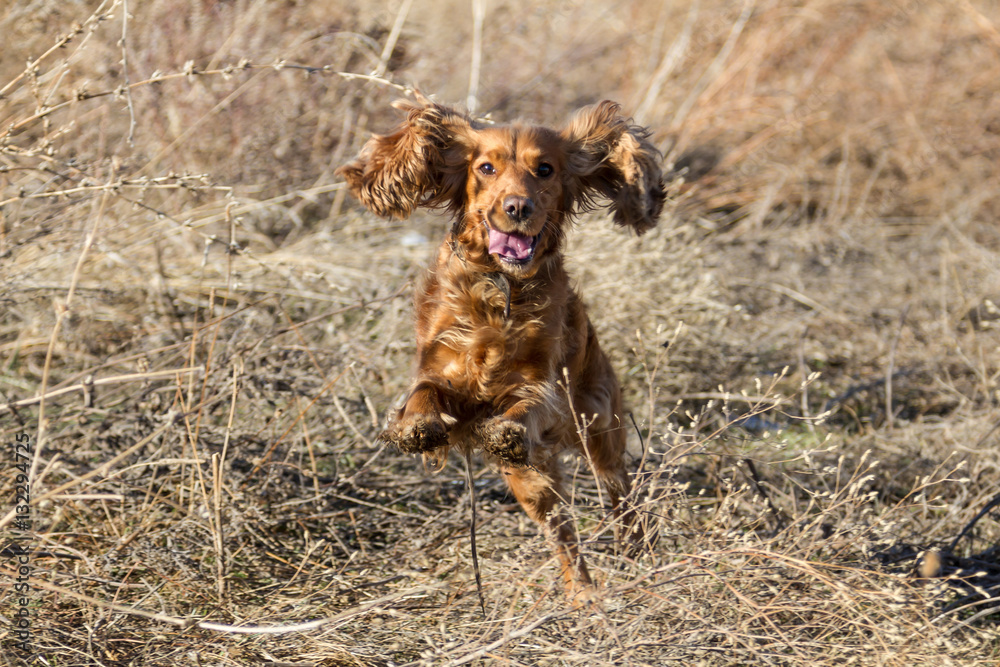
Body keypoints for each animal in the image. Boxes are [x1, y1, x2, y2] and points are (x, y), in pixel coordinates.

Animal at [338, 96, 664, 596]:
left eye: (545, 169)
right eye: (486, 167)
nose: (516, 207)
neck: (500, 288)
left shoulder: (543, 386)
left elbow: (527, 406)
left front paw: (507, 430)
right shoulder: (441, 369)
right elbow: (423, 393)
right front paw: (416, 426)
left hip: (597, 428)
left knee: (617, 493)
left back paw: (624, 563)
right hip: (533, 479)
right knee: (561, 530)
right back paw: (582, 593)